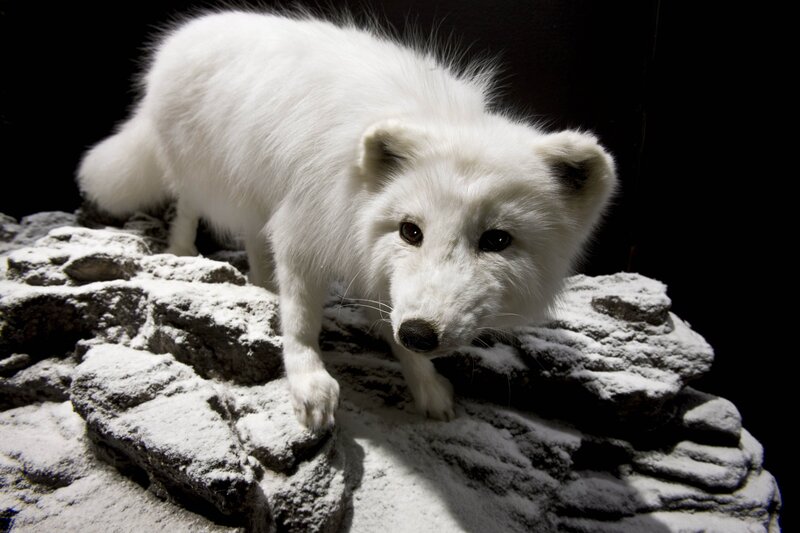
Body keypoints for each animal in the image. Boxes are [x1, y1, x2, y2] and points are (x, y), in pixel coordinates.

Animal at [77, 10, 617, 431]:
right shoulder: (304, 226)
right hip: (204, 172)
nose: (421, 333)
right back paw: (184, 250)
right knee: (188, 204)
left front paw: (426, 385)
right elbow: (301, 321)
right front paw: (308, 383)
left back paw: (262, 283)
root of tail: (181, 36)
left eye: (497, 240)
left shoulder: (371, 266)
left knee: (253, 235)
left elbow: (390, 322)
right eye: (411, 231)